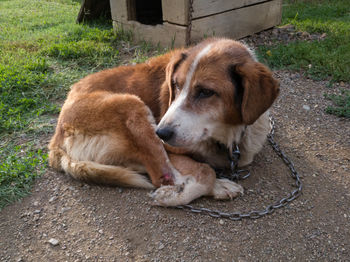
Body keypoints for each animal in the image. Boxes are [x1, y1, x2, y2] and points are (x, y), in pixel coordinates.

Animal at [48, 37, 278, 207]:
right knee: (160, 176)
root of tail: (56, 139)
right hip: (131, 104)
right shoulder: (172, 149)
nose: (161, 133)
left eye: (206, 92)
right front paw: (173, 196)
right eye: (175, 84)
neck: (226, 135)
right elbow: (206, 171)